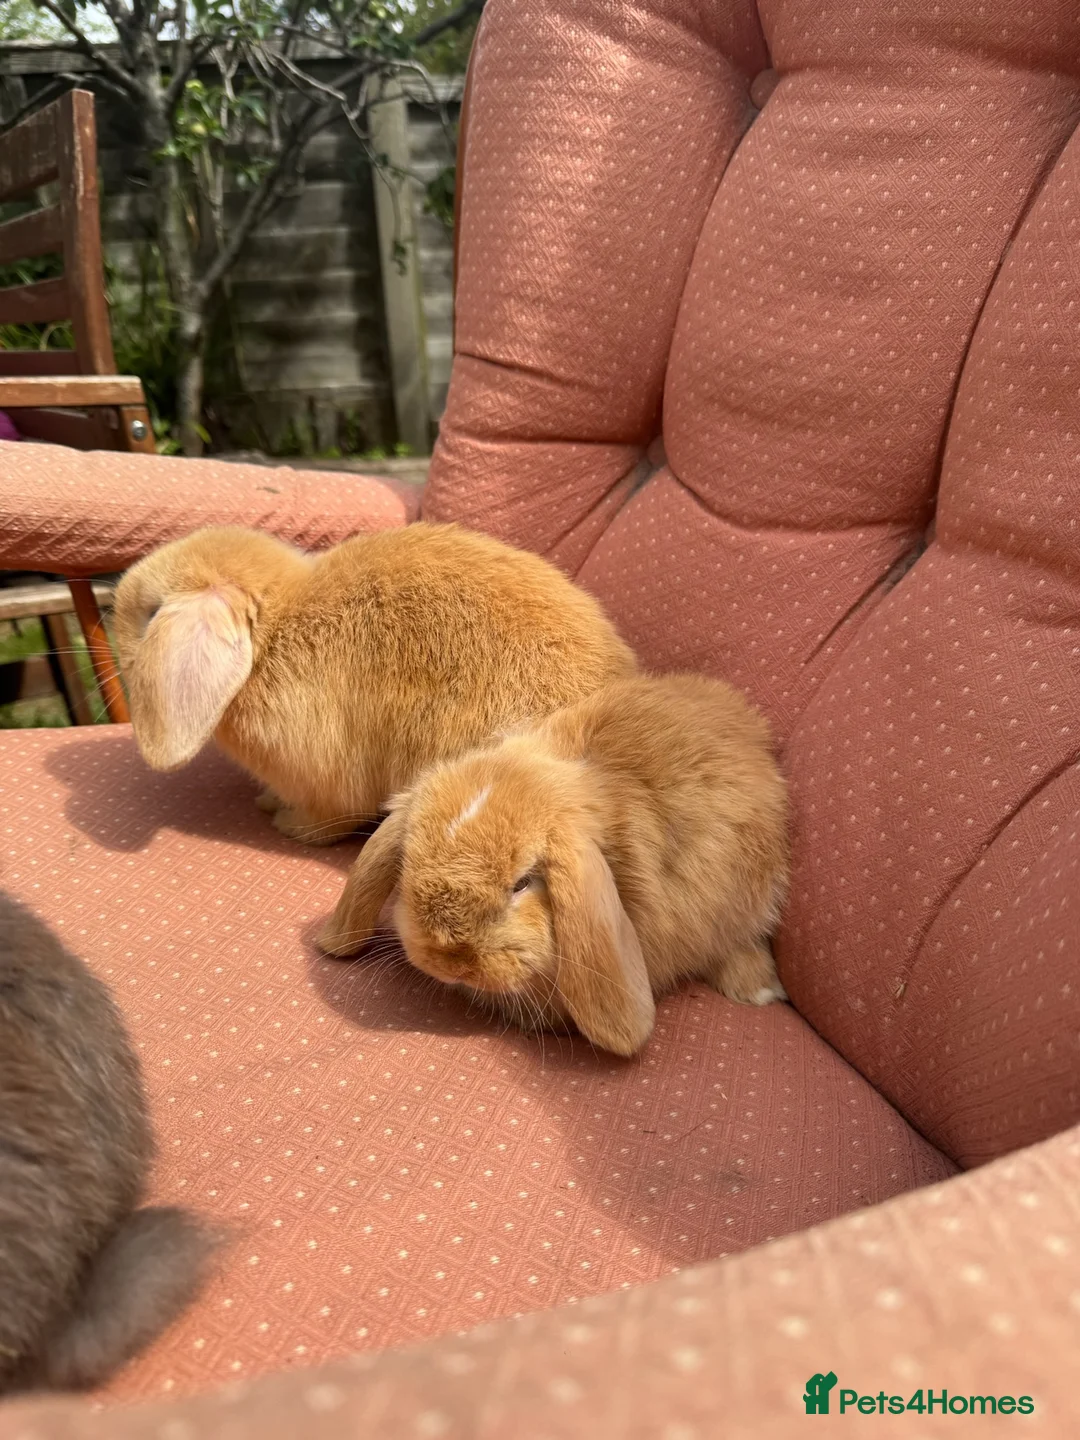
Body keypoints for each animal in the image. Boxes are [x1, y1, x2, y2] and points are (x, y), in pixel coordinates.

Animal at [112, 522, 637, 845]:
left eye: (151, 614)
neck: (273, 634)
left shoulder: (324, 784)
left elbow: (326, 819)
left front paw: (285, 823)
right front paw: (266, 801)